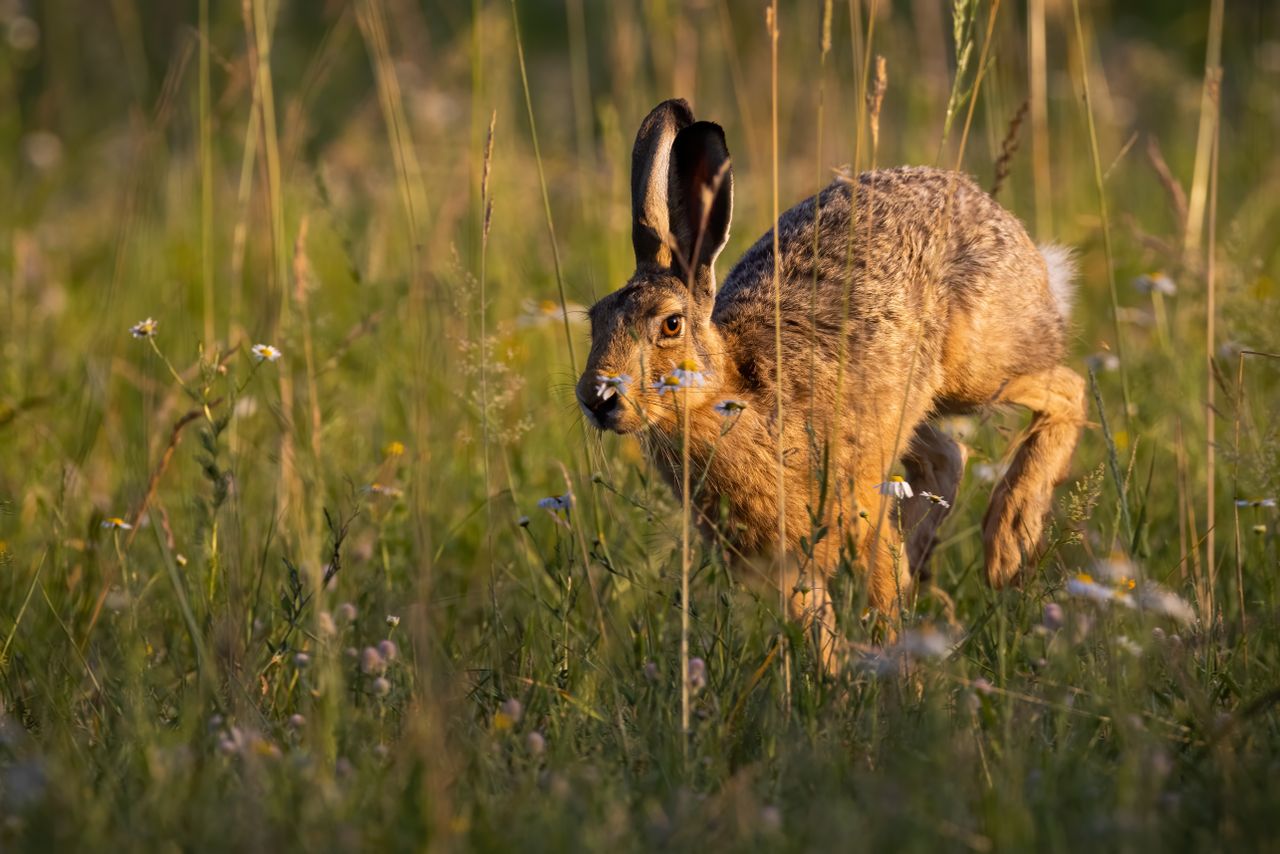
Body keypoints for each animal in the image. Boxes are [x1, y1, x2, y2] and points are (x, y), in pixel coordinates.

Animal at [576, 99, 1086, 665]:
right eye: (595, 320)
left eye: (670, 324)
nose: (597, 397)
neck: (734, 394)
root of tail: (994, 213)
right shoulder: (784, 565)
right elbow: (817, 631)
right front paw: (837, 678)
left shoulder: (859, 516)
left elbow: (881, 597)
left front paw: (894, 671)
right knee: (948, 455)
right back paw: (926, 558)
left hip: (976, 370)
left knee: (1068, 387)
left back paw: (1007, 542)